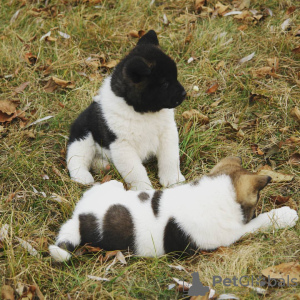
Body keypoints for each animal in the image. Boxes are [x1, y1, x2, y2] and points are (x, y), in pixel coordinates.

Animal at [49, 157, 298, 260]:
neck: (213, 193)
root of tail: (79, 219)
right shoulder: (234, 233)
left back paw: (115, 185)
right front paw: (285, 215)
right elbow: (260, 223)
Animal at [67, 30, 186, 190]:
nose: (184, 94)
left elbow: (170, 158)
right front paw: (144, 190)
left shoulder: (168, 133)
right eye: (165, 83)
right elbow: (136, 172)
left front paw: (174, 180)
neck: (143, 113)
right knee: (76, 158)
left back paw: (103, 165)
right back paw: (82, 177)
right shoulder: (123, 147)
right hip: (83, 137)